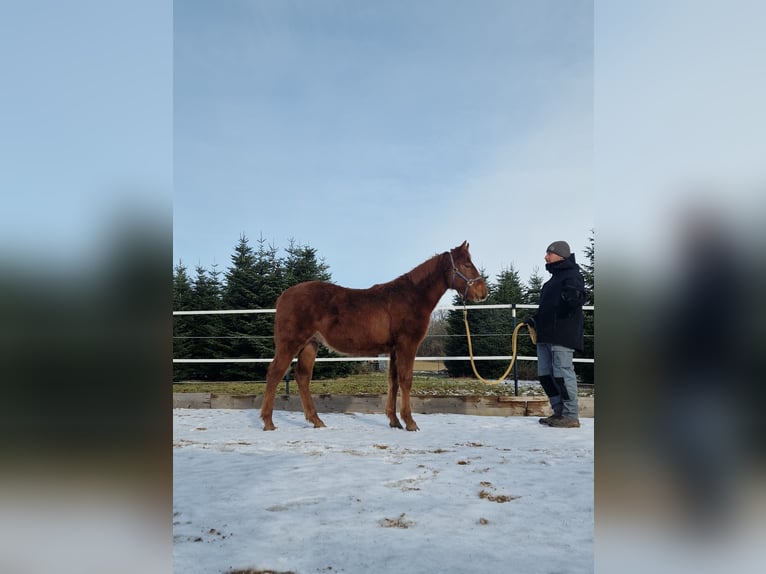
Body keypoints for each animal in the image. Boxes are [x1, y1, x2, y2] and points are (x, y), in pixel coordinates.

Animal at [260, 241, 488, 431]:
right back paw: (268, 422)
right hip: (290, 343)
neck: (410, 296)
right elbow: (406, 380)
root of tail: (283, 296)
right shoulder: (407, 345)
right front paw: (410, 422)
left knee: (302, 376)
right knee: (275, 373)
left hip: (310, 344)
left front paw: (394, 421)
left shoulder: (394, 349)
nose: (483, 292)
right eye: (467, 264)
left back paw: (316, 420)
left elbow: (393, 380)